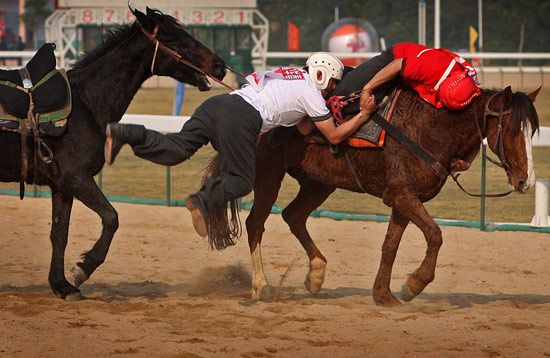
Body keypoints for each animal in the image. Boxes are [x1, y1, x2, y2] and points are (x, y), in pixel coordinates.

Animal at [0, 7, 226, 300]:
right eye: (174, 38)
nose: (219, 65)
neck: (85, 104)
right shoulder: (77, 179)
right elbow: (111, 218)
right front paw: (83, 269)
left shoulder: (62, 186)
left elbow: (59, 233)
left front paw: (62, 285)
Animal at [246, 86, 544, 308]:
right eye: (512, 129)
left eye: (532, 131)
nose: (526, 180)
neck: (431, 129)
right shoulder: (400, 195)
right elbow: (435, 234)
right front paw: (413, 284)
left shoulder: (404, 198)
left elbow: (391, 245)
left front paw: (383, 295)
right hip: (269, 177)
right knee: (255, 224)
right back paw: (261, 285)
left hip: (319, 183)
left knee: (293, 215)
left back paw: (316, 274)